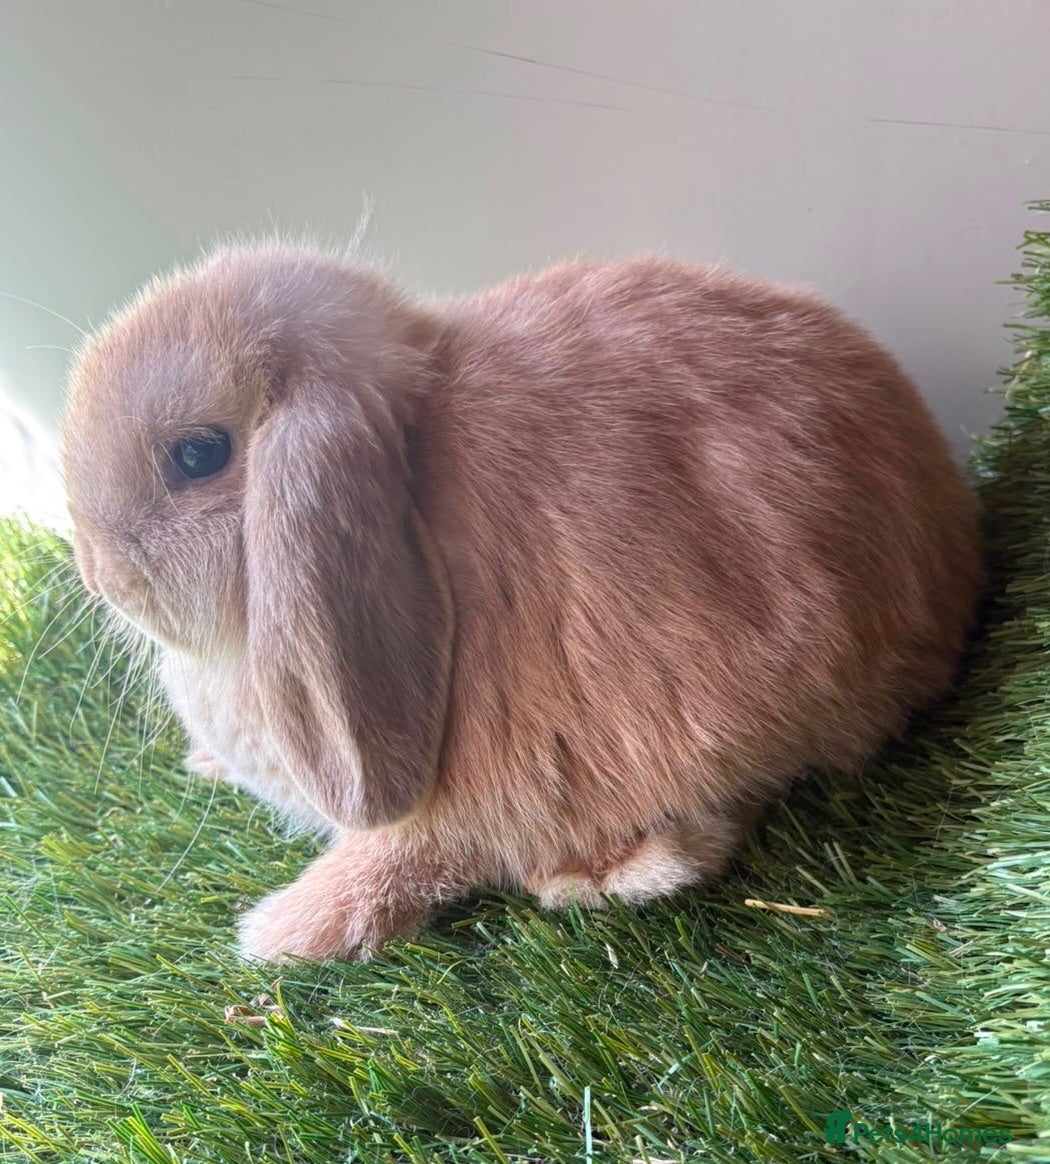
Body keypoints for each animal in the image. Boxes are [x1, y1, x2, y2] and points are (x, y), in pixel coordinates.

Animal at [60, 242, 983, 962]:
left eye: (197, 455)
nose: (96, 570)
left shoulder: (456, 811)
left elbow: (393, 864)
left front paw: (280, 934)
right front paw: (206, 766)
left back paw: (609, 873)